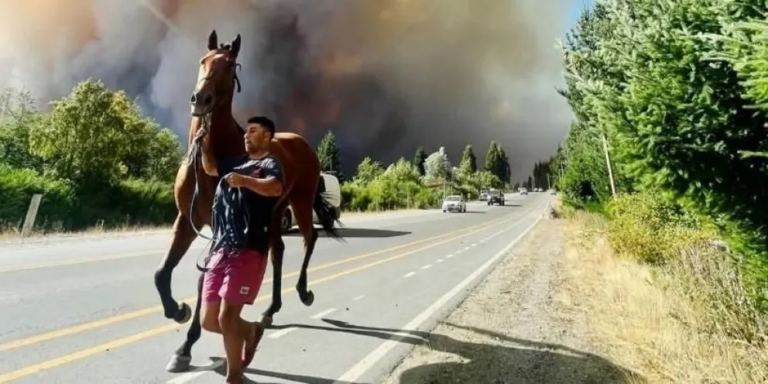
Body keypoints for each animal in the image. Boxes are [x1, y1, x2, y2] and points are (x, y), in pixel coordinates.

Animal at [156, 30, 342, 372]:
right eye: (203, 60)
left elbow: (204, 281)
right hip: (276, 212)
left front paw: (187, 342)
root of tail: (302, 143)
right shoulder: (186, 222)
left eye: (230, 65)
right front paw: (178, 313)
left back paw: (303, 292)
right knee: (278, 249)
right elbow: (162, 273)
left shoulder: (220, 229)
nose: (200, 99)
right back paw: (271, 310)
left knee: (309, 238)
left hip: (300, 201)